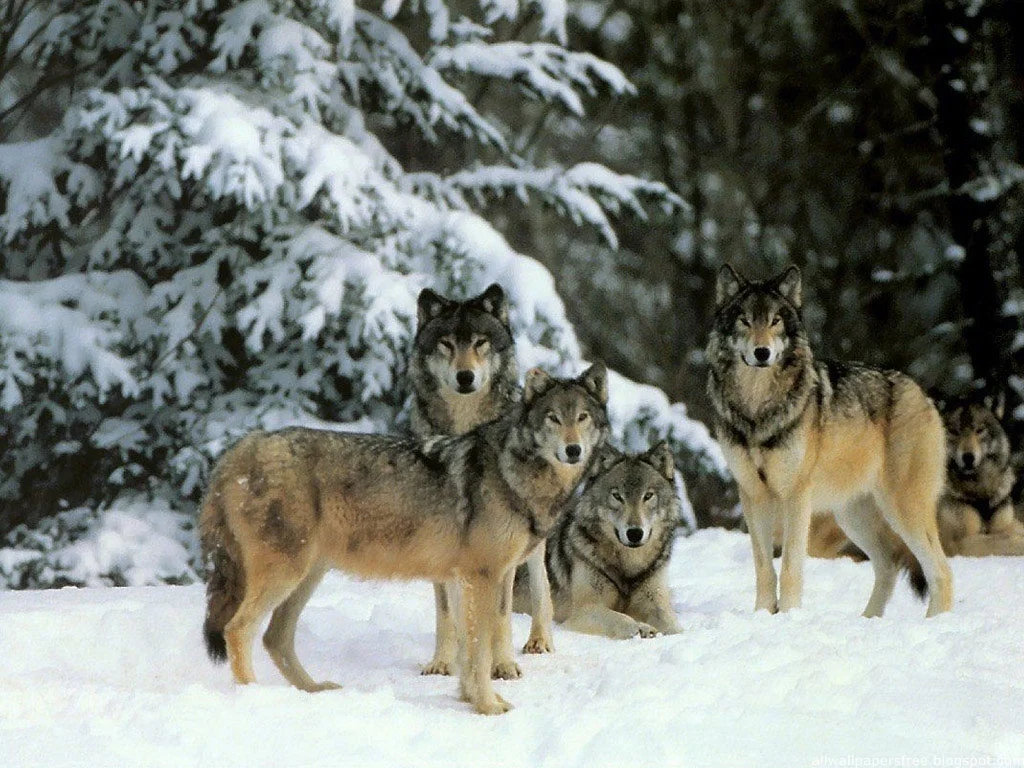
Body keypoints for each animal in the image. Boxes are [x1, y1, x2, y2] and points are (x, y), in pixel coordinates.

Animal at [200, 364, 609, 715]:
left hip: (306, 577)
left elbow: (468, 645)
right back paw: (252, 697)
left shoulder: (465, 579)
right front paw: (488, 706)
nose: (573, 450)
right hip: (286, 575)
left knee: (275, 638)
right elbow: (478, 651)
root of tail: (244, 446)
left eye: (582, 418)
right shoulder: (482, 577)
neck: (513, 473)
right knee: (238, 630)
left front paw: (468, 698)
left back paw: (314, 690)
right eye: (553, 418)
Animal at [408, 284, 555, 680]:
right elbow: (447, 610)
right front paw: (443, 661)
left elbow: (502, 614)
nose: (465, 376)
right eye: (446, 344)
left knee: (541, 585)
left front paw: (502, 665)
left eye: (479, 342)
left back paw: (539, 641)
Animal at [513, 442, 683, 639]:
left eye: (648, 496)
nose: (634, 533)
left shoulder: (655, 602)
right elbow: (623, 619)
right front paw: (641, 628)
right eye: (617, 496)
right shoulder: (582, 612)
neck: (628, 568)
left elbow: (672, 624)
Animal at [707, 264, 953, 617]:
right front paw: (763, 615)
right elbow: (764, 568)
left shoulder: (796, 495)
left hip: (903, 509)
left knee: (941, 572)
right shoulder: (753, 495)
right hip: (852, 516)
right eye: (745, 320)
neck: (757, 408)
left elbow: (790, 566)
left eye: (775, 320)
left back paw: (935, 622)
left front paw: (789, 616)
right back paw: (868, 621)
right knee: (889, 565)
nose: (762, 352)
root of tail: (921, 391)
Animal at [937, 393, 1024, 556]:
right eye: (954, 432)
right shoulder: (956, 545)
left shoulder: (1004, 524)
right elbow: (1004, 540)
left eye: (979, 430)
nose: (968, 457)